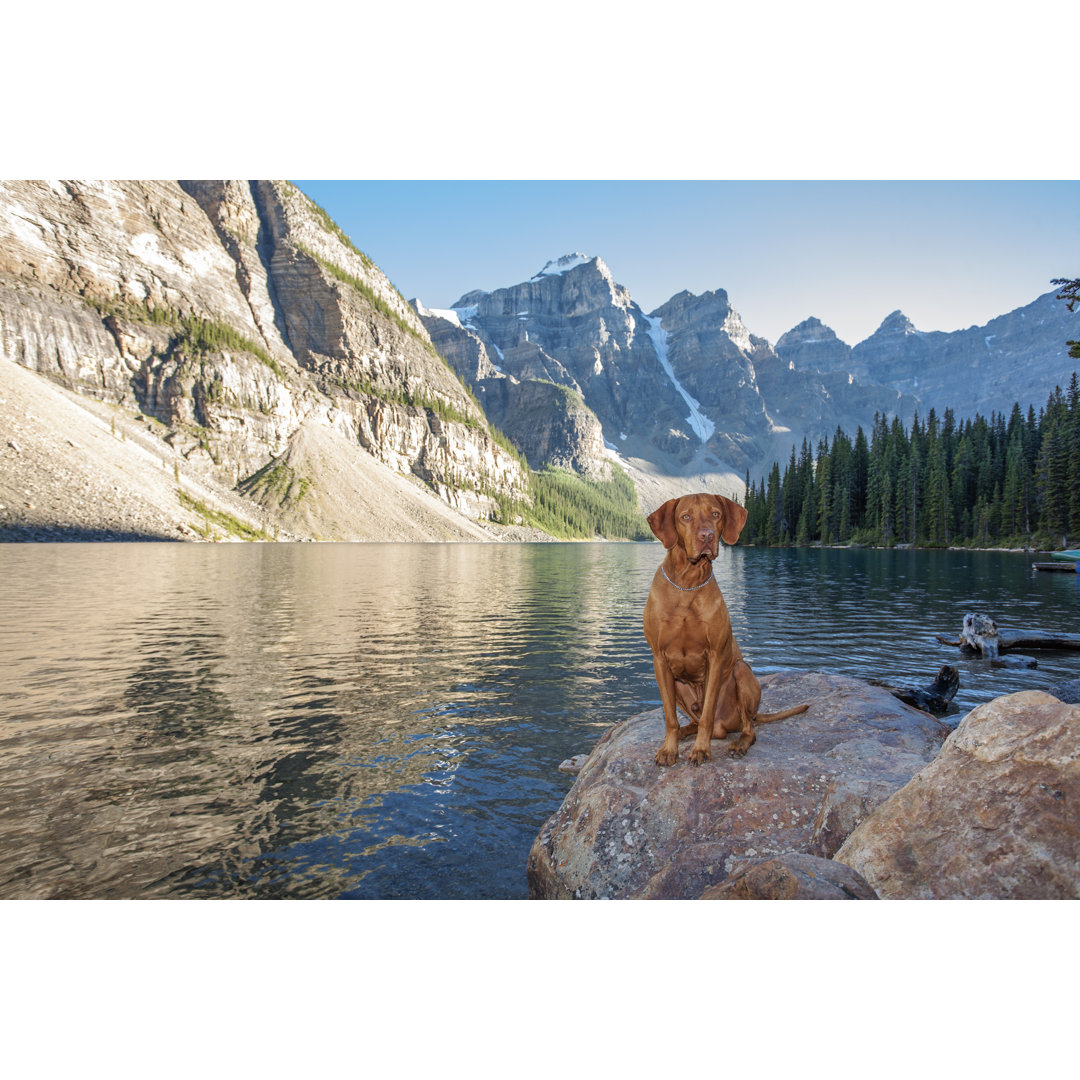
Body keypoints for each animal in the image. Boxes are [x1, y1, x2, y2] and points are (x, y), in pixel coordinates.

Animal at [639, 494, 803, 764]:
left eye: (715, 514)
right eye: (685, 517)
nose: (706, 536)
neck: (687, 584)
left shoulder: (715, 656)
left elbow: (707, 713)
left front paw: (700, 749)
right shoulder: (659, 660)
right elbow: (670, 717)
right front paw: (669, 749)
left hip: (741, 672)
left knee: (747, 727)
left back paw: (738, 743)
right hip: (679, 686)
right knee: (693, 721)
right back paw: (685, 732)